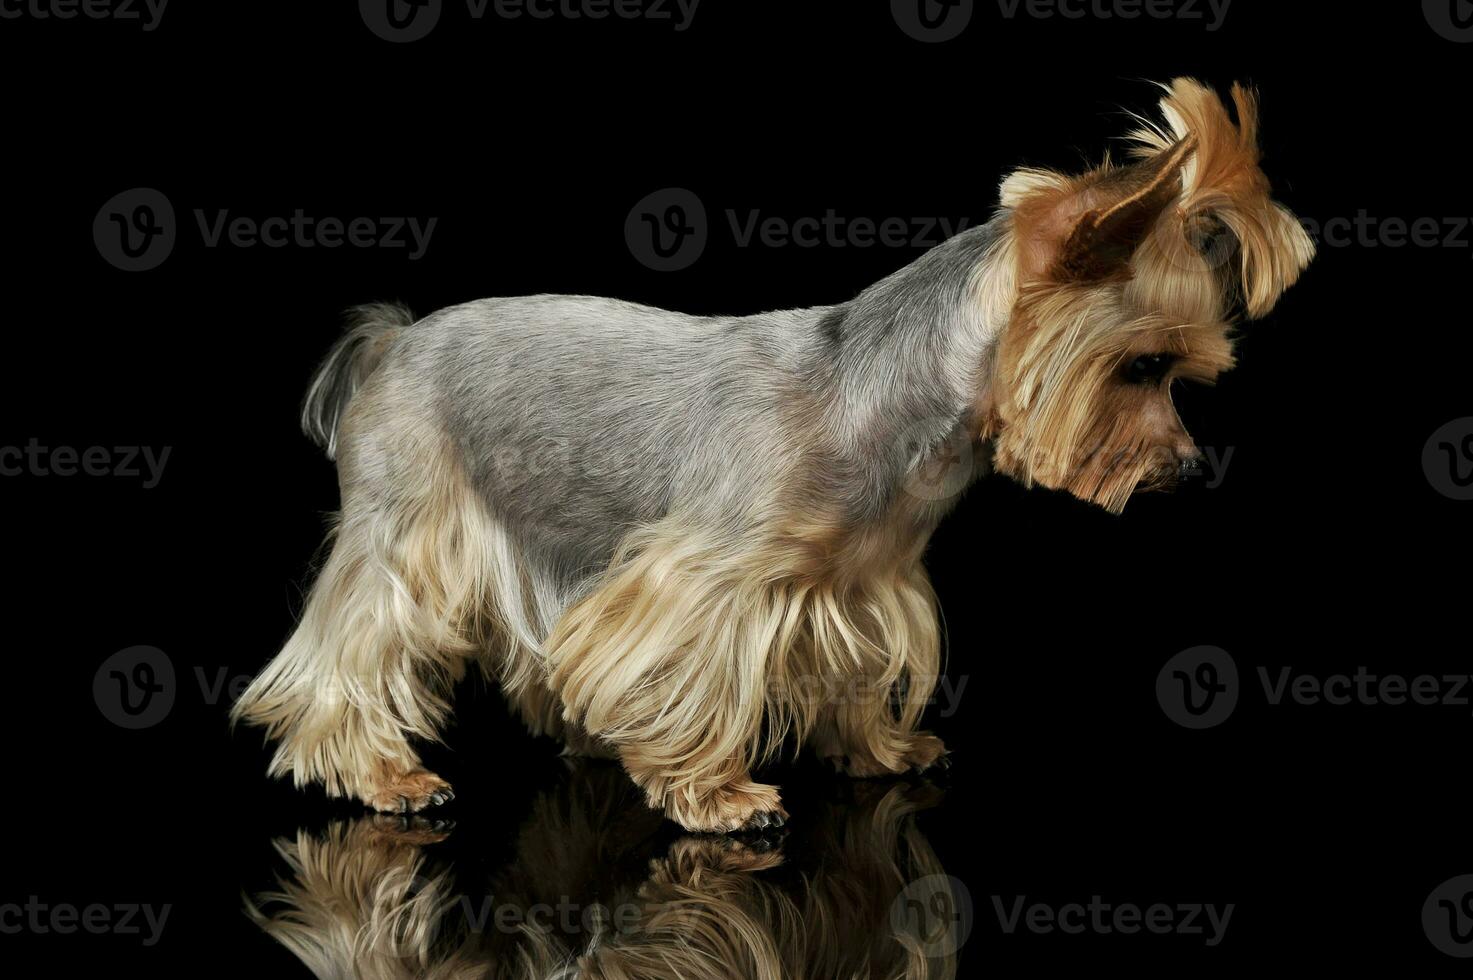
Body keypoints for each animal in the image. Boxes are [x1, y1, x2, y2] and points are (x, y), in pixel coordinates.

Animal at [235, 78, 1319, 825]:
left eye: (1181, 374)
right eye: (1142, 366)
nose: (1185, 467)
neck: (898, 407)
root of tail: (393, 341)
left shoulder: (865, 579)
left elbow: (858, 667)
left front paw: (879, 748)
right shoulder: (708, 579)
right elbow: (695, 673)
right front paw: (715, 792)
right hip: (407, 523)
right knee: (354, 643)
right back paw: (381, 771)